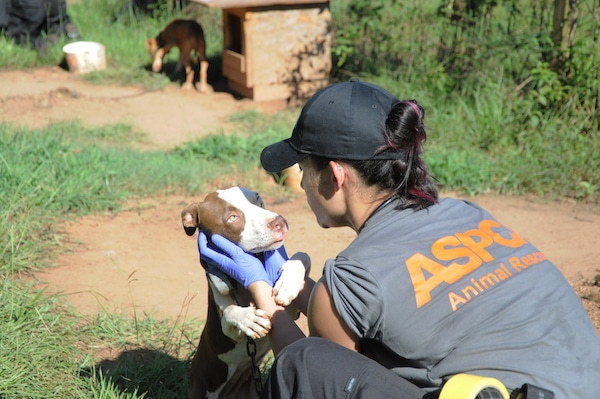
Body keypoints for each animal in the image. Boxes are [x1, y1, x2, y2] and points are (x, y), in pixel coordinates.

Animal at [180, 188, 310, 399]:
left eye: (257, 198)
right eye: (233, 217)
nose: (279, 221)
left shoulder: (290, 311)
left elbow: (301, 255)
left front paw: (288, 283)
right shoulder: (227, 322)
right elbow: (230, 312)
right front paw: (249, 319)